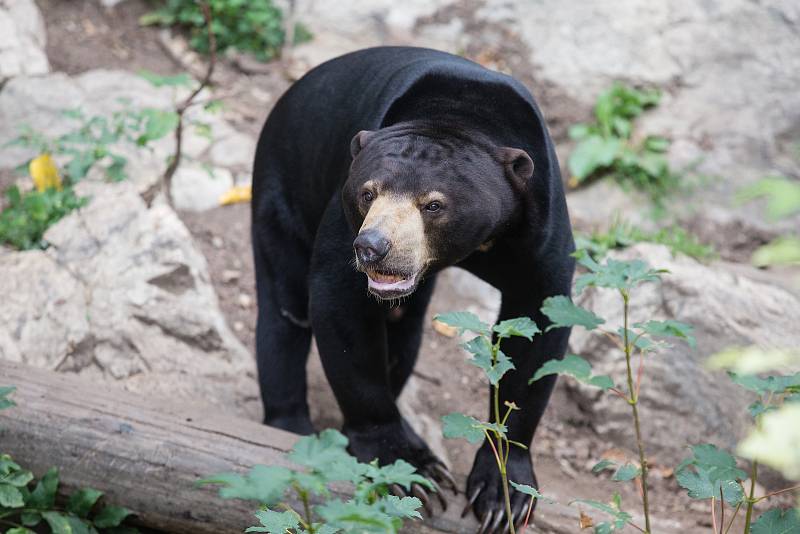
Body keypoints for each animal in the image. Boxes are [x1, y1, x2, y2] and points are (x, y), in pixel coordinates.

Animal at [253, 46, 572, 532]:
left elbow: (538, 329)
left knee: (404, 327)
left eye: (434, 205)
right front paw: (415, 471)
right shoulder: (340, 215)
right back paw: (292, 426)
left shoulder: (539, 224)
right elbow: (341, 307)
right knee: (284, 311)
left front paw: (503, 497)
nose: (372, 248)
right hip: (284, 185)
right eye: (368, 193)